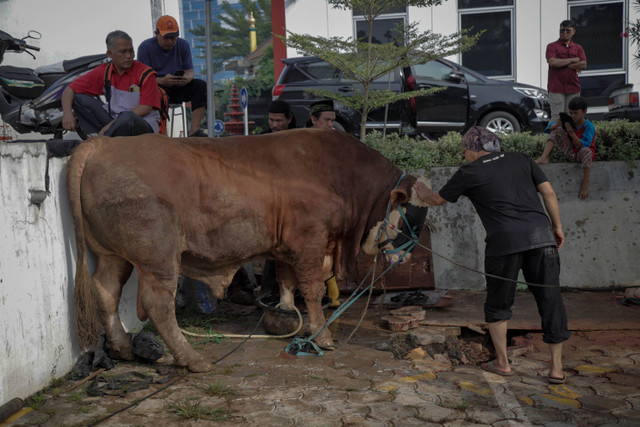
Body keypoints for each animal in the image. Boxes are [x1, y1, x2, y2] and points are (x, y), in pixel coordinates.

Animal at [67, 129, 428, 372]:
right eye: (414, 214)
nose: (410, 254)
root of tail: (106, 142)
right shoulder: (310, 241)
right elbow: (312, 289)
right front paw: (322, 336)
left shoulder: (287, 247)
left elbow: (287, 284)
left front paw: (293, 318)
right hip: (159, 257)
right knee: (158, 304)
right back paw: (192, 359)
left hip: (113, 256)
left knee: (106, 291)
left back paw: (121, 347)